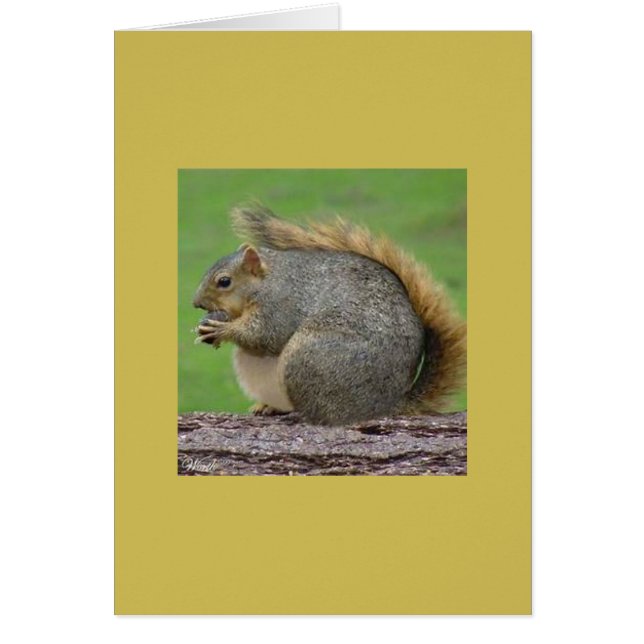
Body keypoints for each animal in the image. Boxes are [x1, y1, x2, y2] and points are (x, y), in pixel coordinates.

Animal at [193, 203, 466, 426]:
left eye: (224, 281)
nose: (196, 303)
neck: (267, 279)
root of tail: (384, 405)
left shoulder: (281, 304)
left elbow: (265, 335)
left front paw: (222, 329)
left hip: (308, 357)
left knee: (320, 412)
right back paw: (270, 406)